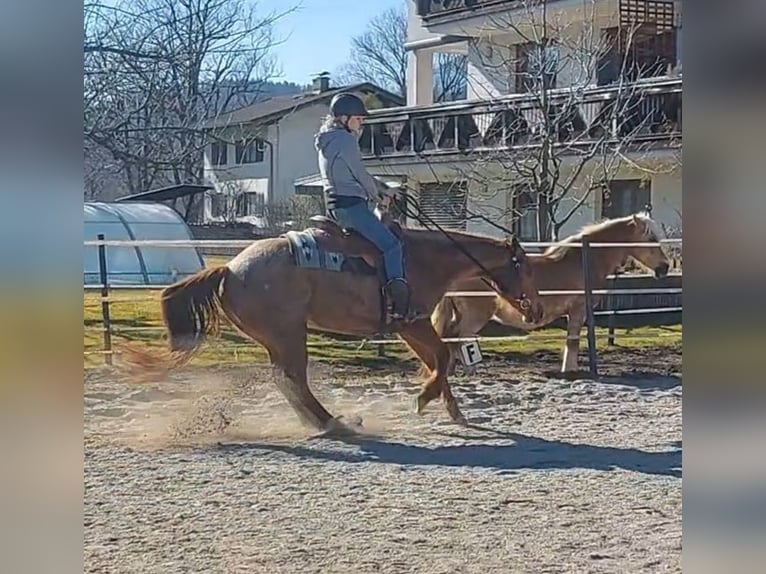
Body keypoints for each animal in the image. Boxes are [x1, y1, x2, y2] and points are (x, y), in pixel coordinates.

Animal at [126, 213, 544, 436]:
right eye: (524, 266)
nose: (536, 311)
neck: (425, 258)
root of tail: (229, 268)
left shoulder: (409, 326)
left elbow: (438, 362)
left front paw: (453, 410)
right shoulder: (413, 322)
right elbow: (443, 358)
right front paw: (424, 400)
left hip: (277, 338)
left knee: (286, 381)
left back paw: (320, 421)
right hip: (289, 335)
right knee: (292, 379)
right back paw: (333, 422)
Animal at [428, 214, 676, 376]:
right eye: (651, 239)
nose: (664, 267)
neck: (585, 260)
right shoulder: (577, 311)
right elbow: (573, 341)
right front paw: (570, 371)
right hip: (476, 315)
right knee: (459, 338)